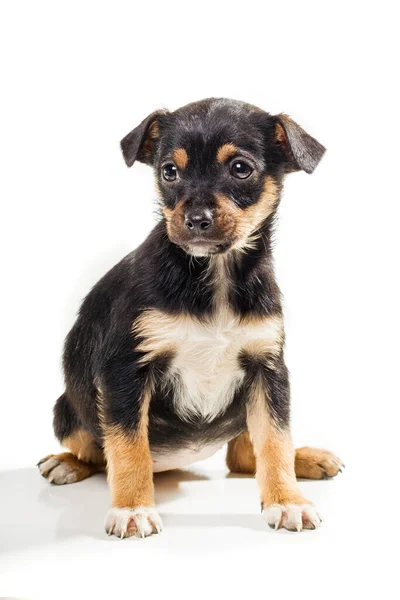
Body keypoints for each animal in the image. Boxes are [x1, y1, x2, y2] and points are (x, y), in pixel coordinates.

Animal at [38, 96, 344, 536]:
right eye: (169, 171)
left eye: (241, 168)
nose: (196, 220)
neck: (214, 273)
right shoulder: (125, 370)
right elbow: (128, 448)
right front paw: (132, 509)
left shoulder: (268, 369)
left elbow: (275, 440)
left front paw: (287, 501)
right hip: (68, 409)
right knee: (98, 452)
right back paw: (66, 464)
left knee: (243, 456)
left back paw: (307, 458)